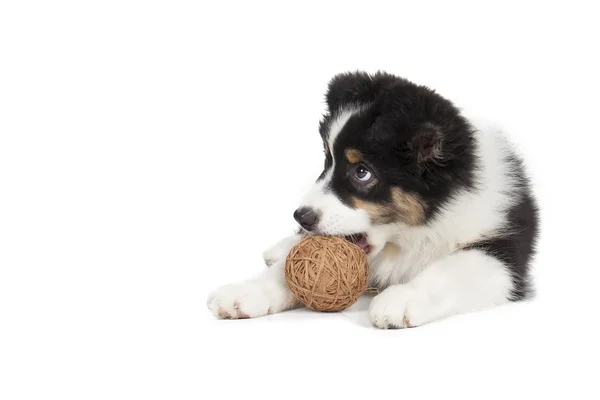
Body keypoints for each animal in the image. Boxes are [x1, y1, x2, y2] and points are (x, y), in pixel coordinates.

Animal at [206, 71, 540, 328]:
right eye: (327, 161)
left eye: (362, 172)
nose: (301, 216)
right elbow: (288, 270)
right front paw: (243, 293)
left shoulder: (504, 254)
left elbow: (453, 269)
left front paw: (402, 299)